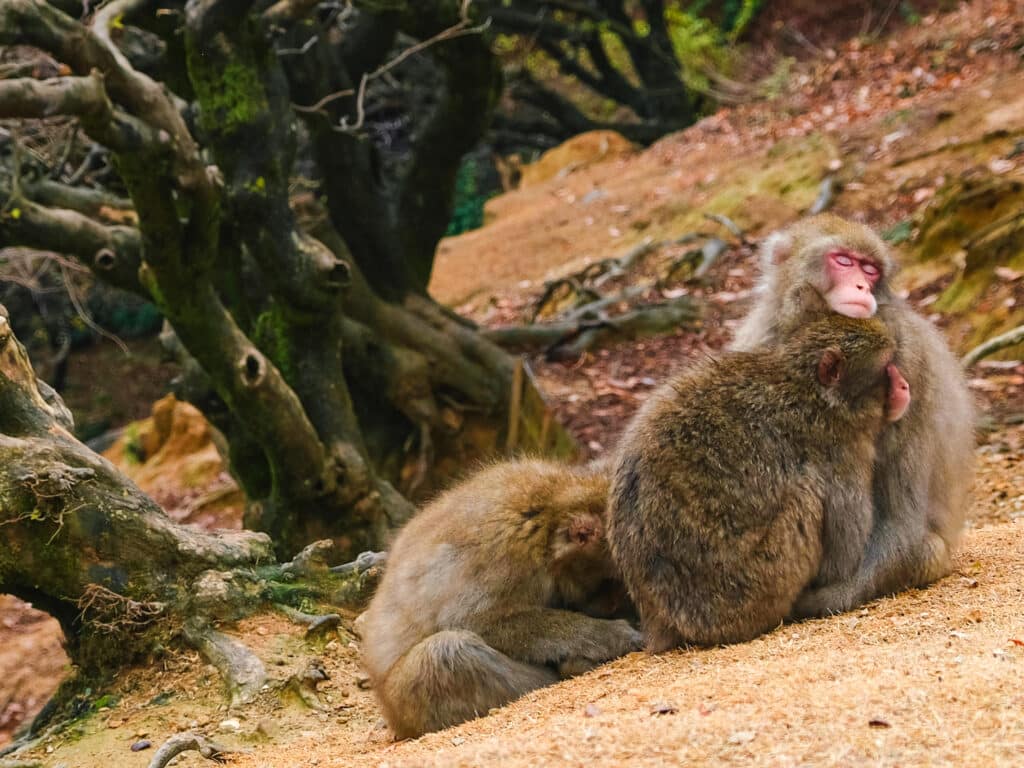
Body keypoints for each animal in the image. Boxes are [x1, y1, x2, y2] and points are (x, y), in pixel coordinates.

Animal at [359, 459, 642, 739]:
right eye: (612, 582)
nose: (615, 605)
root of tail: (392, 717)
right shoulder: (506, 556)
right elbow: (474, 621)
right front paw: (613, 634)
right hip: (406, 702)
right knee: (445, 653)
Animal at [607, 304, 911, 651]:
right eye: (887, 368)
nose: (904, 385)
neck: (810, 391)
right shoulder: (841, 450)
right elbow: (844, 558)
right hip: (750, 591)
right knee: (805, 499)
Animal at [730, 214, 975, 617]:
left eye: (870, 269)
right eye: (844, 261)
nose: (862, 285)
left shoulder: (910, 356)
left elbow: (902, 516)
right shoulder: (760, 343)